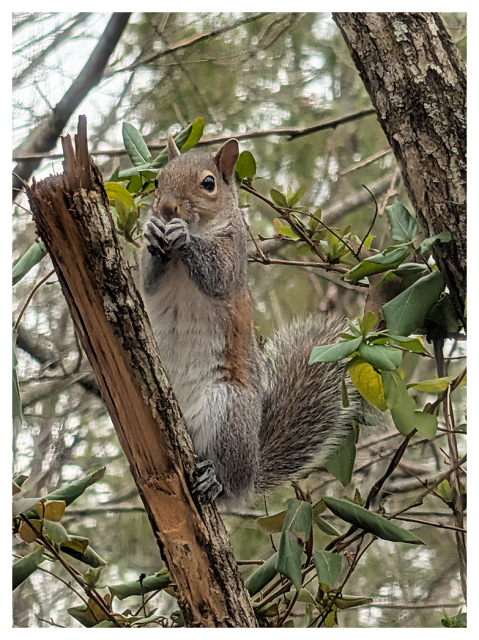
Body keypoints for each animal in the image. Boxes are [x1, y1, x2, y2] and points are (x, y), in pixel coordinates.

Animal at [140, 137, 360, 504]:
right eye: (157, 180)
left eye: (208, 183)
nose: (168, 208)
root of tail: (252, 474)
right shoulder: (153, 275)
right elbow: (147, 280)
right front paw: (153, 231)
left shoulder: (233, 256)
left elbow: (217, 274)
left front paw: (184, 237)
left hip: (229, 413)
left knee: (228, 481)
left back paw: (216, 481)